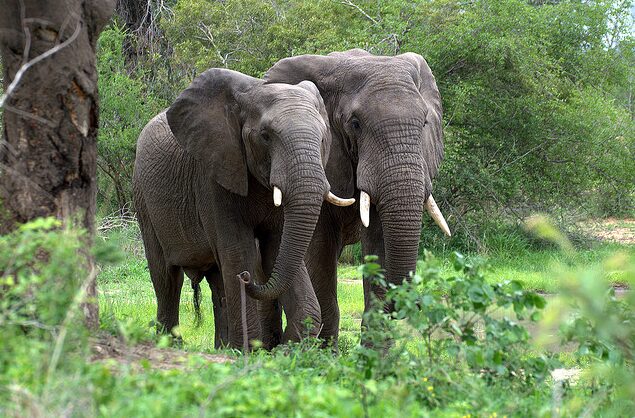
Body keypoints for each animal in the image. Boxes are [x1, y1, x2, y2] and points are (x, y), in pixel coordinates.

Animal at [133, 69, 358, 350]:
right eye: (265, 135)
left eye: (324, 138)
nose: (247, 278)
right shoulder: (212, 176)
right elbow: (238, 251)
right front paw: (248, 351)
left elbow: (277, 250)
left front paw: (284, 349)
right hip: (144, 200)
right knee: (167, 279)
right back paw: (172, 345)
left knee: (217, 282)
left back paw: (222, 348)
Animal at [264, 49, 452, 350]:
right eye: (355, 124)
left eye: (424, 123)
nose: (413, 305)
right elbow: (320, 248)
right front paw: (324, 354)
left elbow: (379, 239)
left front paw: (376, 355)